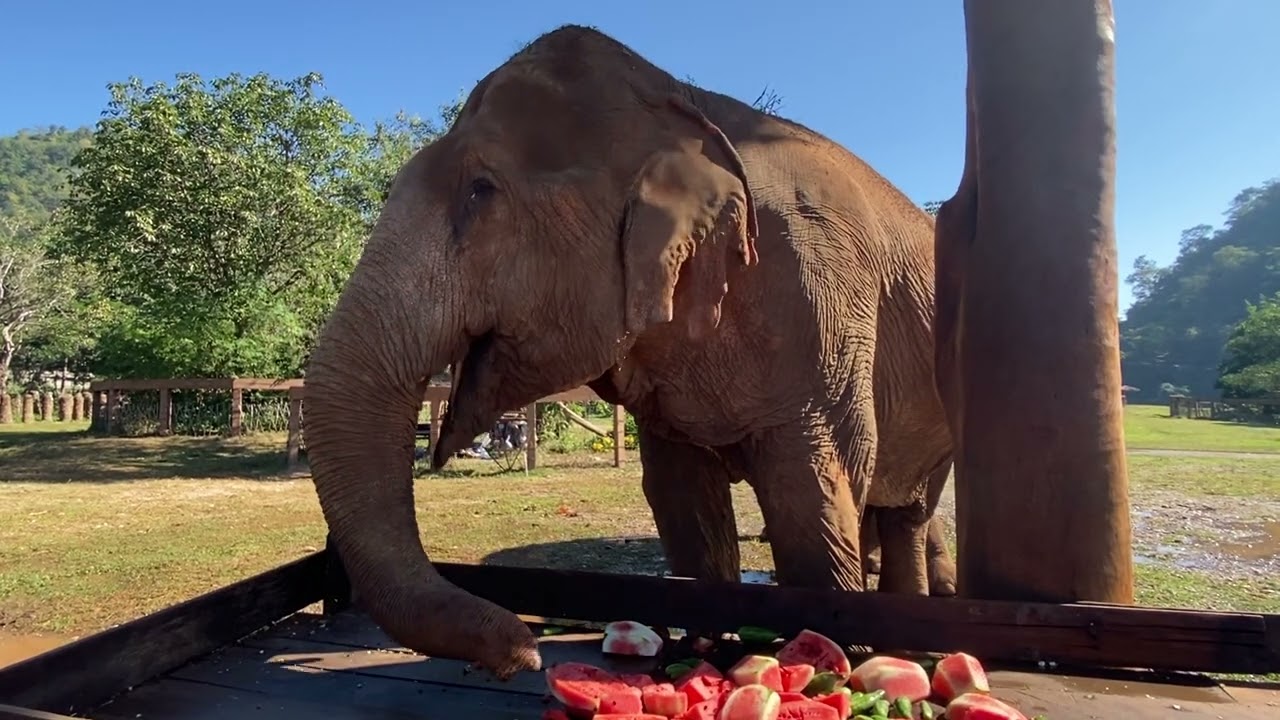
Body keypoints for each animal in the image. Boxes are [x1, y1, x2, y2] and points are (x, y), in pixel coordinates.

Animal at [303, 24, 952, 679]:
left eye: (480, 192)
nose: (525, 651)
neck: (683, 106)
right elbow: (681, 494)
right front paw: (704, 648)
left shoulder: (820, 300)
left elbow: (813, 486)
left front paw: (834, 658)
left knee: (910, 510)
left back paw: (912, 636)